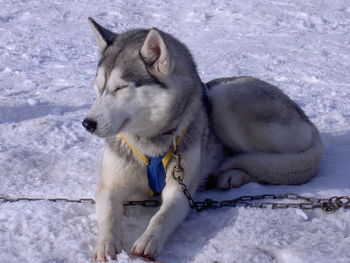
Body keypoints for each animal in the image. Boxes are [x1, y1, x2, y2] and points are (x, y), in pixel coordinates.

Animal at [82, 18, 322, 262]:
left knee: (275, 163)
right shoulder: (109, 187)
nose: (87, 123)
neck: (150, 143)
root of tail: (305, 119)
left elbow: (162, 217)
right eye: (99, 87)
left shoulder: (180, 190)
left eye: (121, 87)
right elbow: (109, 216)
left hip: (224, 99)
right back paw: (232, 176)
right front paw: (106, 244)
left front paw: (148, 240)